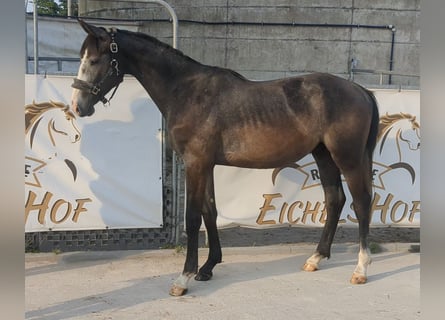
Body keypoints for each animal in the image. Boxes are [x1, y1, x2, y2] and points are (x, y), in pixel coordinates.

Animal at [71, 19, 380, 296]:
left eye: (95, 60)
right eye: (82, 57)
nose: (77, 106)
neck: (186, 91)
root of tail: (360, 90)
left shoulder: (195, 163)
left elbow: (193, 218)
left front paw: (184, 278)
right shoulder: (206, 164)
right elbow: (210, 212)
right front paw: (208, 267)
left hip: (348, 157)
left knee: (361, 202)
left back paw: (360, 269)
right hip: (323, 154)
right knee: (335, 199)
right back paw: (316, 258)